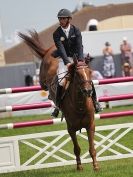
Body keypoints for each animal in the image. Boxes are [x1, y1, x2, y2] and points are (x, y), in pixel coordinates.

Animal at [19, 30, 100, 171]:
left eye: (90, 72)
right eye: (78, 74)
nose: (88, 91)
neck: (80, 105)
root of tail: (49, 49)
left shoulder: (90, 125)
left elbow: (92, 148)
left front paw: (95, 166)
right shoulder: (71, 129)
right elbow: (77, 149)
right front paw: (79, 167)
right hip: (42, 79)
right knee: (43, 85)